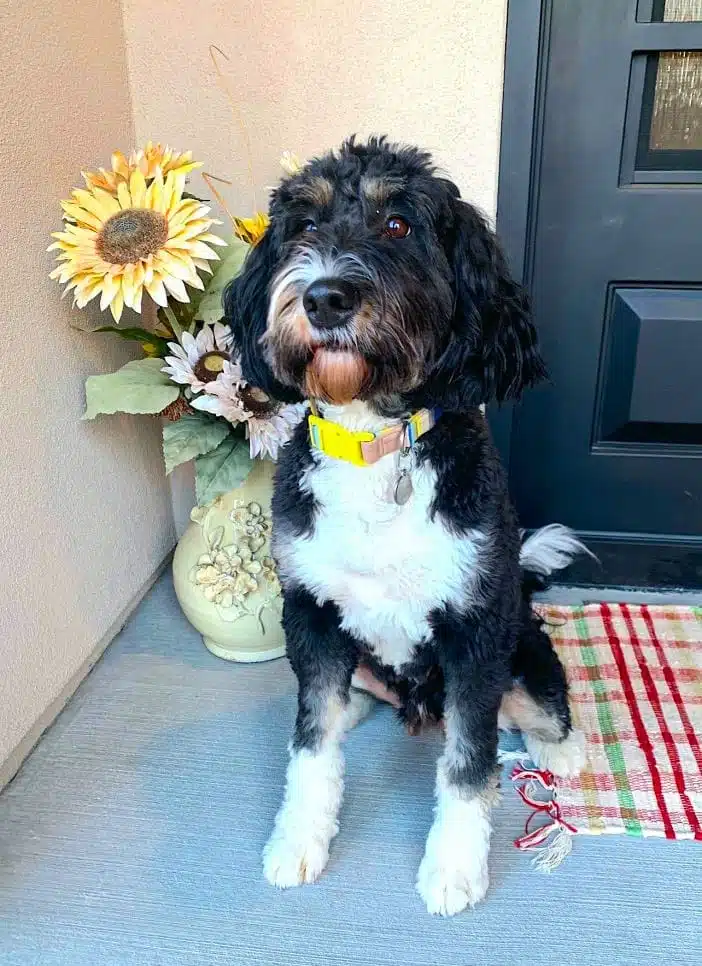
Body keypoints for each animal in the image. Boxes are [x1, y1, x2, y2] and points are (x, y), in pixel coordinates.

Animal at [227, 136, 588, 916]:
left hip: (520, 638)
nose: (325, 296)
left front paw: (453, 868)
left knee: (535, 699)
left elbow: (469, 764)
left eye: (398, 224)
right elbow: (311, 744)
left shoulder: (476, 630)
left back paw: (562, 745)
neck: (374, 442)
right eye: (304, 225)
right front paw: (298, 840)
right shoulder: (309, 611)